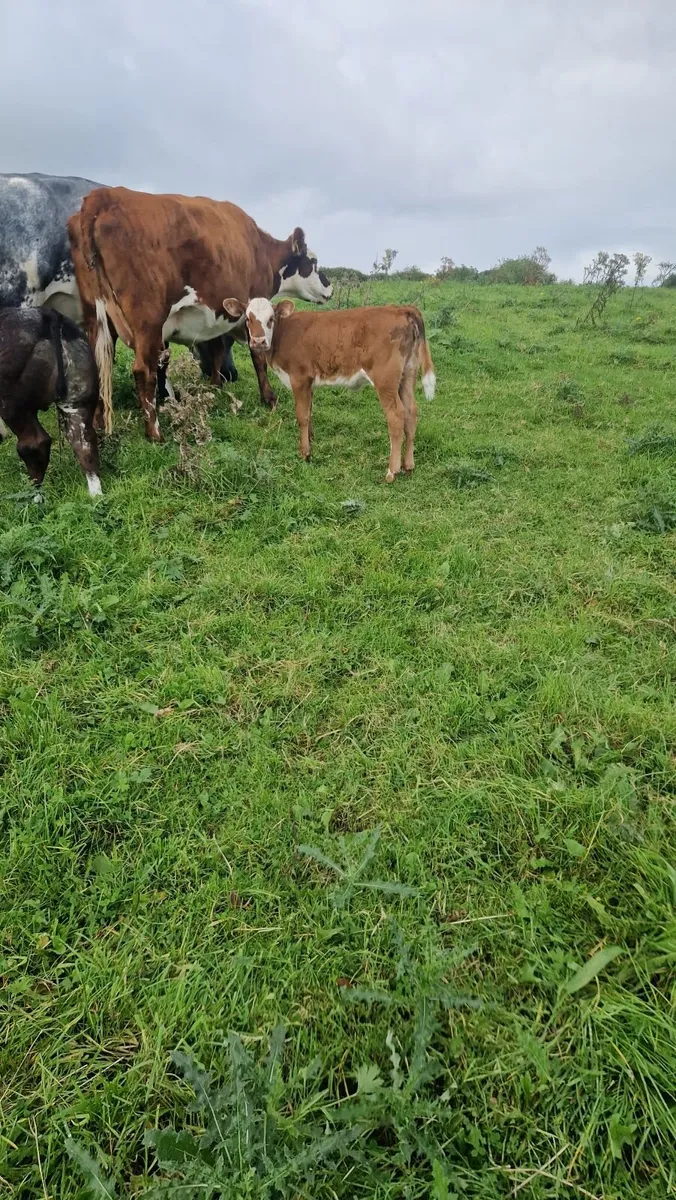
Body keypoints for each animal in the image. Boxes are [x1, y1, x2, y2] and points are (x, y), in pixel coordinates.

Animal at [0, 307, 102, 497]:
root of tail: (47, 315)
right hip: (78, 403)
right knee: (83, 441)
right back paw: (96, 496)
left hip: (13, 406)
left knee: (33, 444)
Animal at [67, 187, 333, 441]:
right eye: (314, 262)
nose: (330, 287)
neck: (261, 250)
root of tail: (102, 196)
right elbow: (257, 357)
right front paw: (269, 397)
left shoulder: (218, 315)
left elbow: (217, 349)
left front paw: (215, 386)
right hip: (147, 321)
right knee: (143, 370)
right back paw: (154, 432)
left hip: (95, 318)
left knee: (98, 367)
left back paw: (96, 423)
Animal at [221, 298, 436, 481]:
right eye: (248, 319)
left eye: (271, 319)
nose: (258, 341)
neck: (282, 334)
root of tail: (400, 309)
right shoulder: (309, 383)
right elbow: (309, 412)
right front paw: (310, 440)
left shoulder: (299, 379)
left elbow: (301, 416)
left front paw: (305, 453)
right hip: (407, 374)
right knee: (411, 411)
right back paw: (408, 465)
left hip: (385, 379)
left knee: (396, 415)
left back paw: (392, 471)